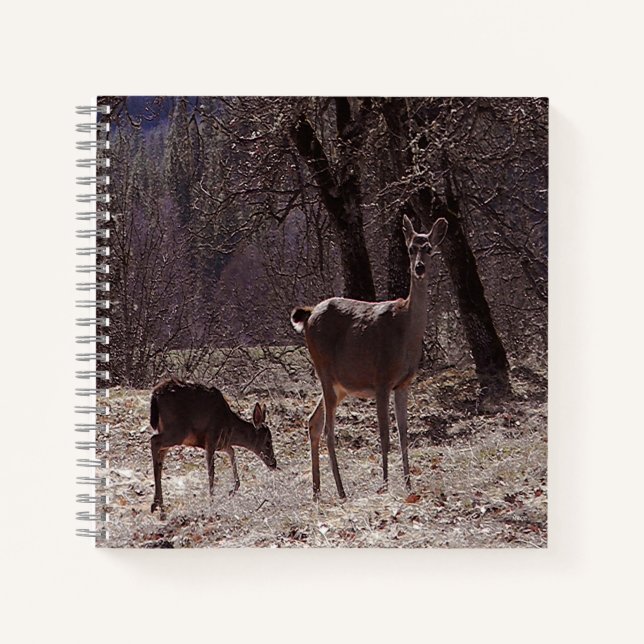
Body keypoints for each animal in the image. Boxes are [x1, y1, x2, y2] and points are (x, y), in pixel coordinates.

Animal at [149, 378, 277, 519]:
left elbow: (232, 452)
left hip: (166, 429)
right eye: (268, 442)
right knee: (154, 441)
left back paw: (160, 506)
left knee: (160, 454)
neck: (229, 425)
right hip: (177, 430)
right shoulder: (211, 438)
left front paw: (232, 491)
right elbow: (211, 472)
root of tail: (155, 394)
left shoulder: (222, 444)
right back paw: (156, 504)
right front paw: (212, 503)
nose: (274, 463)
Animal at [291, 215, 448, 500]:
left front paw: (409, 484)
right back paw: (340, 490)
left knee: (313, 421)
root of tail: (307, 316)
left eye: (429, 248)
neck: (406, 331)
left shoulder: (403, 384)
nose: (419, 268)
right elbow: (385, 435)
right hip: (324, 369)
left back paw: (317, 491)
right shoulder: (381, 379)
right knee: (328, 429)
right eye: (410, 249)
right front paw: (384, 484)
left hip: (340, 384)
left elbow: (404, 435)